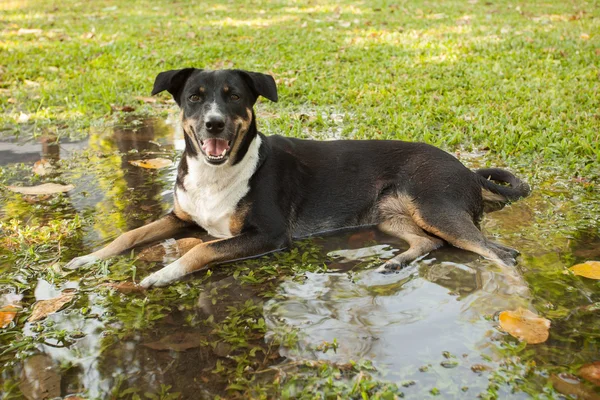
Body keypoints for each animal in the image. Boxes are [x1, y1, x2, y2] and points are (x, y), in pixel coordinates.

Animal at [65, 69, 528, 288]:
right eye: (194, 97)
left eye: (235, 96)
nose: (214, 124)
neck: (220, 172)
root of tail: (466, 168)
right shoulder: (180, 217)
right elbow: (130, 234)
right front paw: (88, 259)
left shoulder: (268, 235)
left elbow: (201, 250)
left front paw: (162, 274)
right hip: (389, 215)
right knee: (429, 243)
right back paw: (395, 261)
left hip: (435, 207)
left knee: (501, 253)